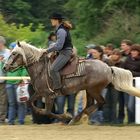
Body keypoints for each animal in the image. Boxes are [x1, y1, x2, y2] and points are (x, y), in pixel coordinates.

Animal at [3, 41, 140, 124]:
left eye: (14, 53)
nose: (5, 67)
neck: (40, 69)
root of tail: (108, 68)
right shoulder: (39, 92)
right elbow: (30, 103)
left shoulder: (48, 95)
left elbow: (47, 111)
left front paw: (65, 117)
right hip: (89, 90)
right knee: (90, 104)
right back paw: (78, 118)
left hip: (94, 90)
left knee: (101, 102)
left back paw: (76, 118)